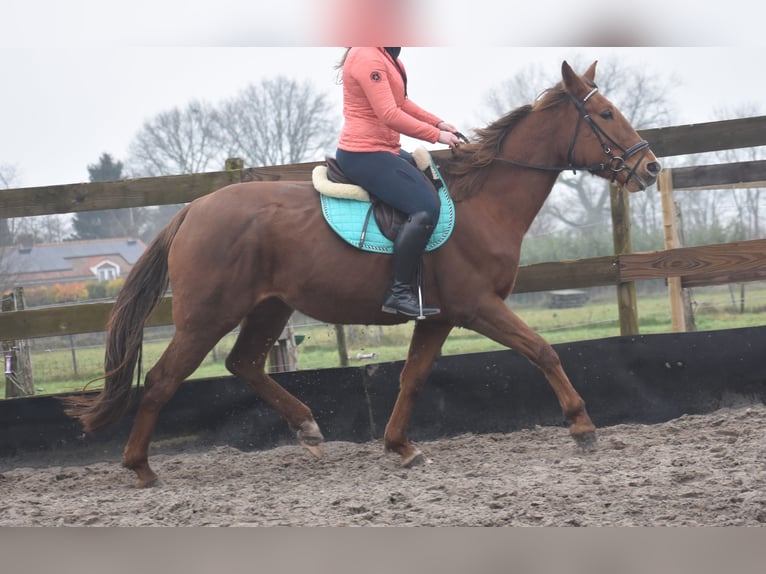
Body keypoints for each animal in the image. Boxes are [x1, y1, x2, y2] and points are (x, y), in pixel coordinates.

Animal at [69, 63, 664, 488]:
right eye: (605, 114)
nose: (651, 168)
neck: (484, 201)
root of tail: (193, 208)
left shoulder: (438, 317)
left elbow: (413, 378)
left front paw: (401, 447)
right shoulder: (478, 306)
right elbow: (542, 350)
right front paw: (583, 427)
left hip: (269, 307)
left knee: (244, 364)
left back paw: (307, 428)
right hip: (206, 315)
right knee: (161, 380)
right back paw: (141, 468)